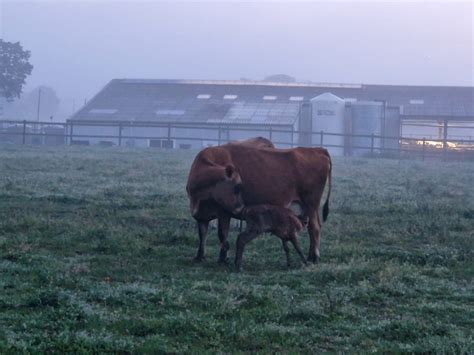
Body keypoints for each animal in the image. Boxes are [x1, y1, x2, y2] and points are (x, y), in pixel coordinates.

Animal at [187, 144, 332, 264]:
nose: (241, 208)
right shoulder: (202, 215)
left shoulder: (224, 213)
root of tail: (318, 150)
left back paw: (314, 257)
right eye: (237, 187)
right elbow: (202, 234)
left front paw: (222, 258)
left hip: (311, 204)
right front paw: (199, 256)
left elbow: (222, 235)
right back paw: (310, 256)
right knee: (313, 227)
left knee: (314, 228)